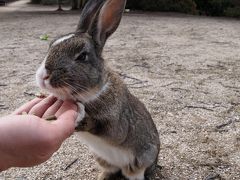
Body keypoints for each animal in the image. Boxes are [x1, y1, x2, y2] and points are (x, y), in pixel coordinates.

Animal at [35, 0, 159, 179]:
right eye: (51, 45)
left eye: (82, 56)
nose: (43, 76)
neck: (92, 93)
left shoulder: (116, 125)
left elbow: (101, 126)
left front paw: (80, 114)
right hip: (102, 158)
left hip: (141, 161)